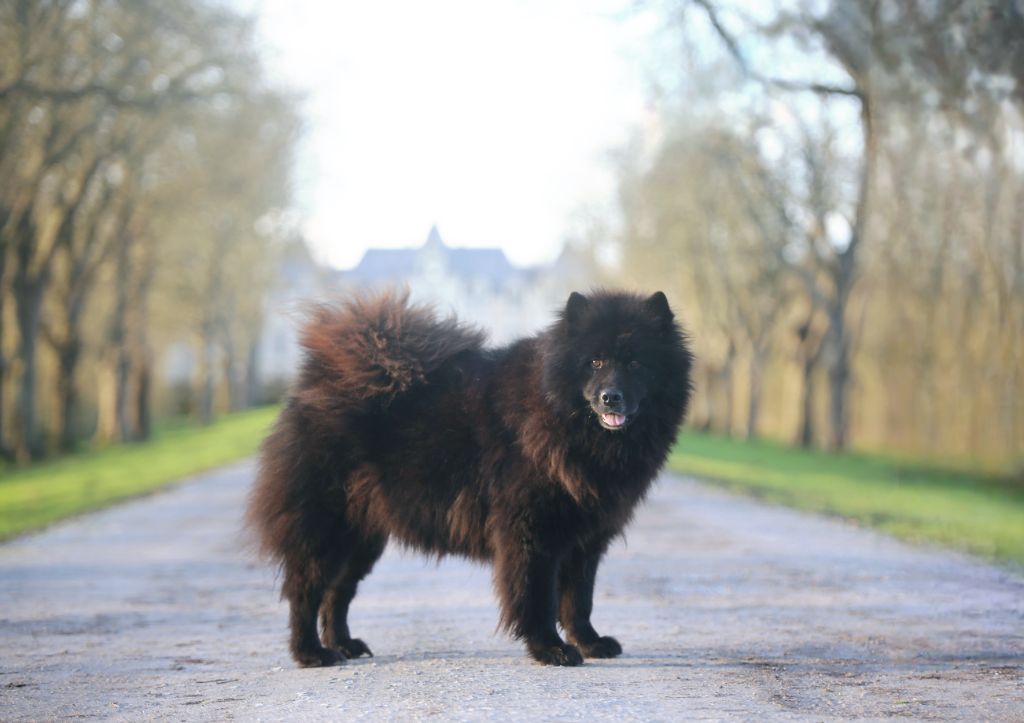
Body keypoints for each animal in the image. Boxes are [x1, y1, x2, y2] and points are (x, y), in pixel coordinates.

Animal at [247, 286, 692, 663]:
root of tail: (318, 380)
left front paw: (590, 642)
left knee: (337, 594)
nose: (610, 396)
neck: (565, 422)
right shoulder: (532, 534)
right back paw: (311, 653)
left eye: (635, 362)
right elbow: (538, 598)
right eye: (595, 362)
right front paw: (550, 649)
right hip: (324, 529)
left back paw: (344, 645)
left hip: (361, 538)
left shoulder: (585, 539)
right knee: (305, 592)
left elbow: (579, 600)